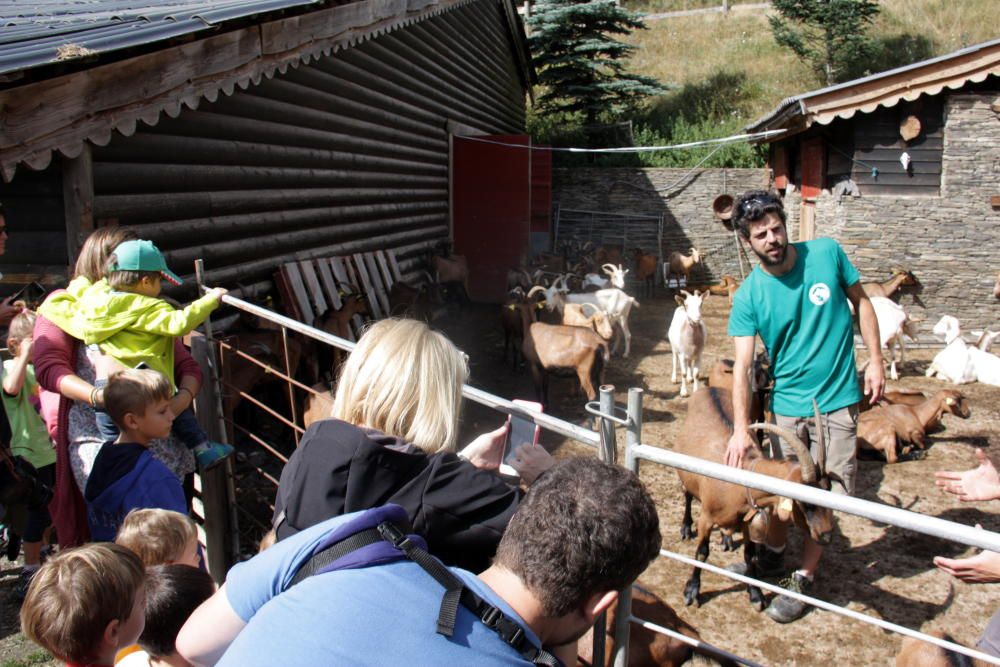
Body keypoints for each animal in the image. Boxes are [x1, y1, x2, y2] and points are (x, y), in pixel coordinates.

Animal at [676, 386, 832, 612]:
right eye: (805, 501)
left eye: (829, 491)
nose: (826, 535)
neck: (740, 478)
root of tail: (709, 388)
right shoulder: (706, 517)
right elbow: (702, 553)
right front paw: (692, 591)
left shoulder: (748, 519)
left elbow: (750, 554)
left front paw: (756, 593)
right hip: (686, 474)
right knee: (687, 494)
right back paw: (686, 527)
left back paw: (726, 538)